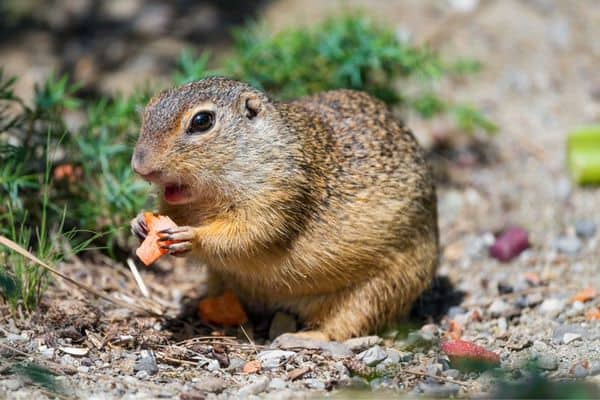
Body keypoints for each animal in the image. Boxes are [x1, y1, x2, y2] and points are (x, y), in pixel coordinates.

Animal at [132, 77, 440, 340]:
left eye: (201, 121)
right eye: (150, 107)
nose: (139, 166)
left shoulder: (278, 197)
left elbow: (247, 237)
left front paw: (191, 237)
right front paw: (139, 223)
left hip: (382, 288)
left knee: (348, 325)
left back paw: (307, 337)